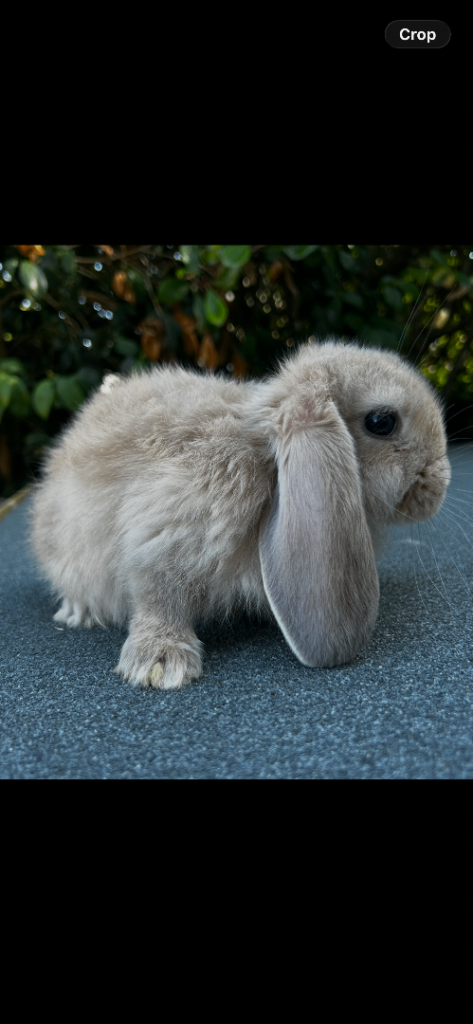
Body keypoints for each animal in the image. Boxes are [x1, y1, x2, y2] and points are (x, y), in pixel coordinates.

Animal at [28, 338, 451, 690]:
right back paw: (78, 612)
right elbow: (159, 599)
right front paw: (160, 664)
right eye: (382, 422)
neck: (263, 456)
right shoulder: (160, 538)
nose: (440, 485)